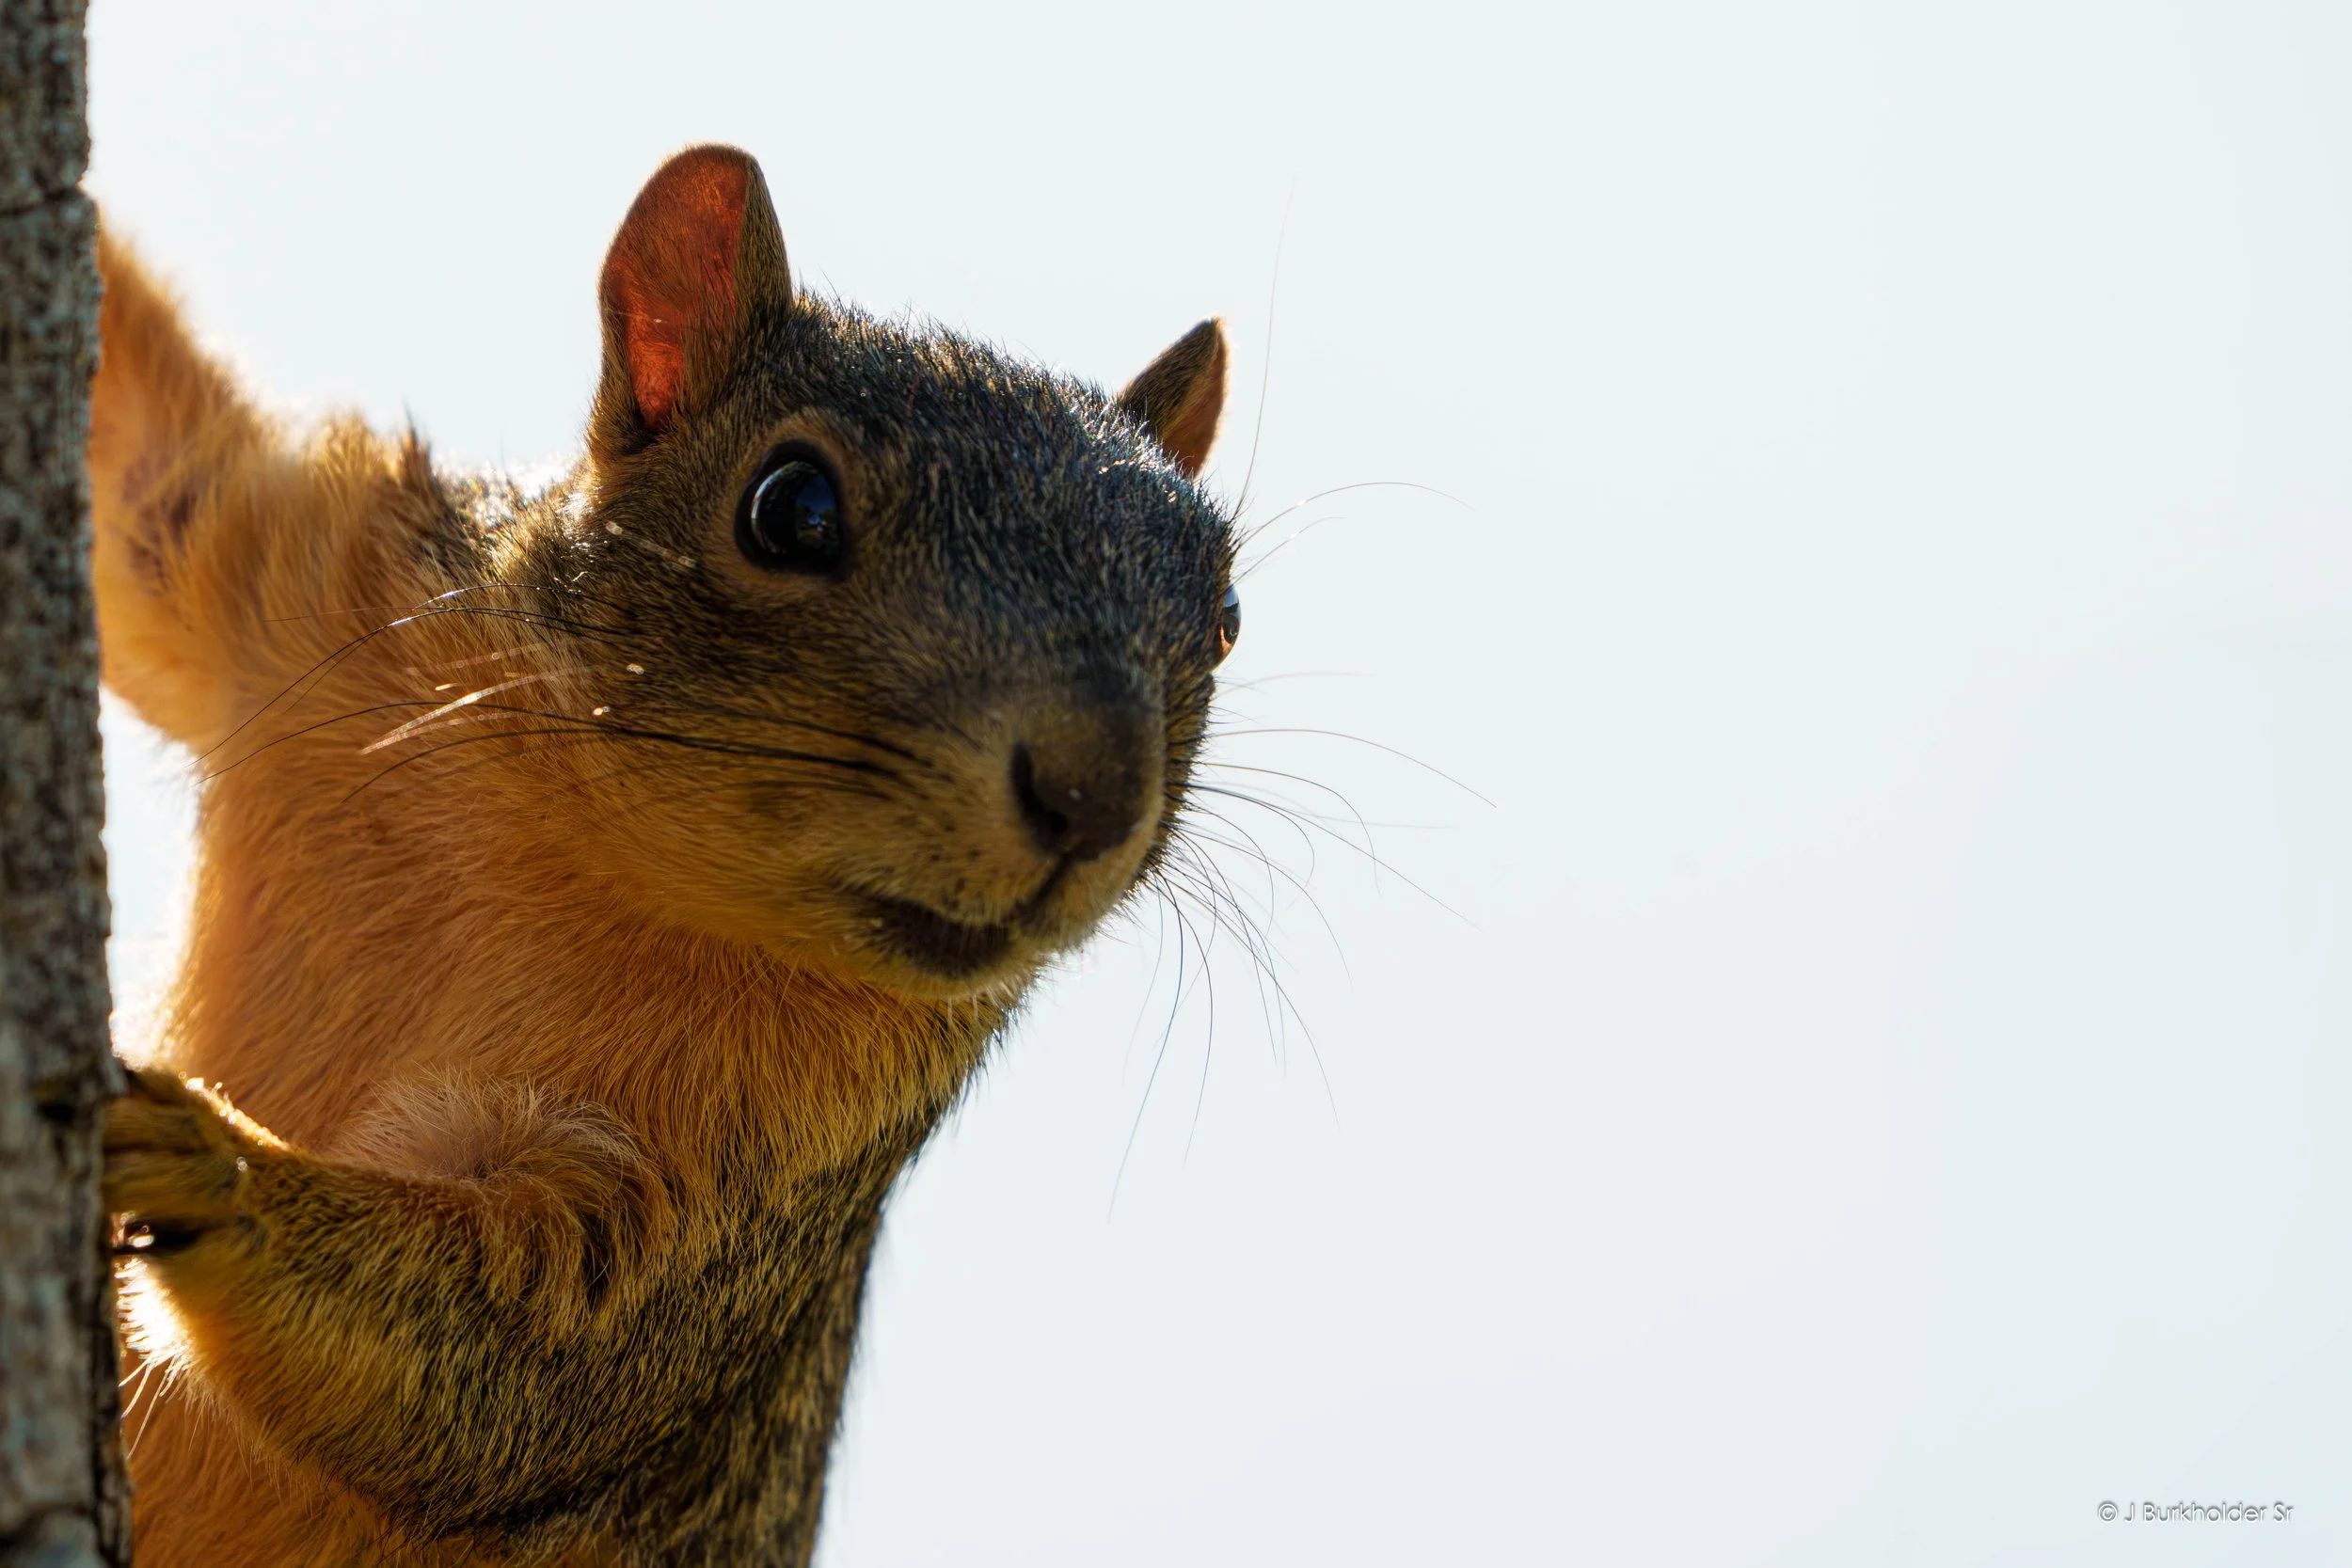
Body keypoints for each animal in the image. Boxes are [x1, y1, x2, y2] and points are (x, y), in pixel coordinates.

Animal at [91, 144, 1241, 1567]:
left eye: (1226, 614)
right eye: (790, 506)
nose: (1092, 794)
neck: (585, 838)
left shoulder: (738, 1193)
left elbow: (508, 1373)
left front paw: (211, 1165)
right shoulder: (311, 580)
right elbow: (138, 463)